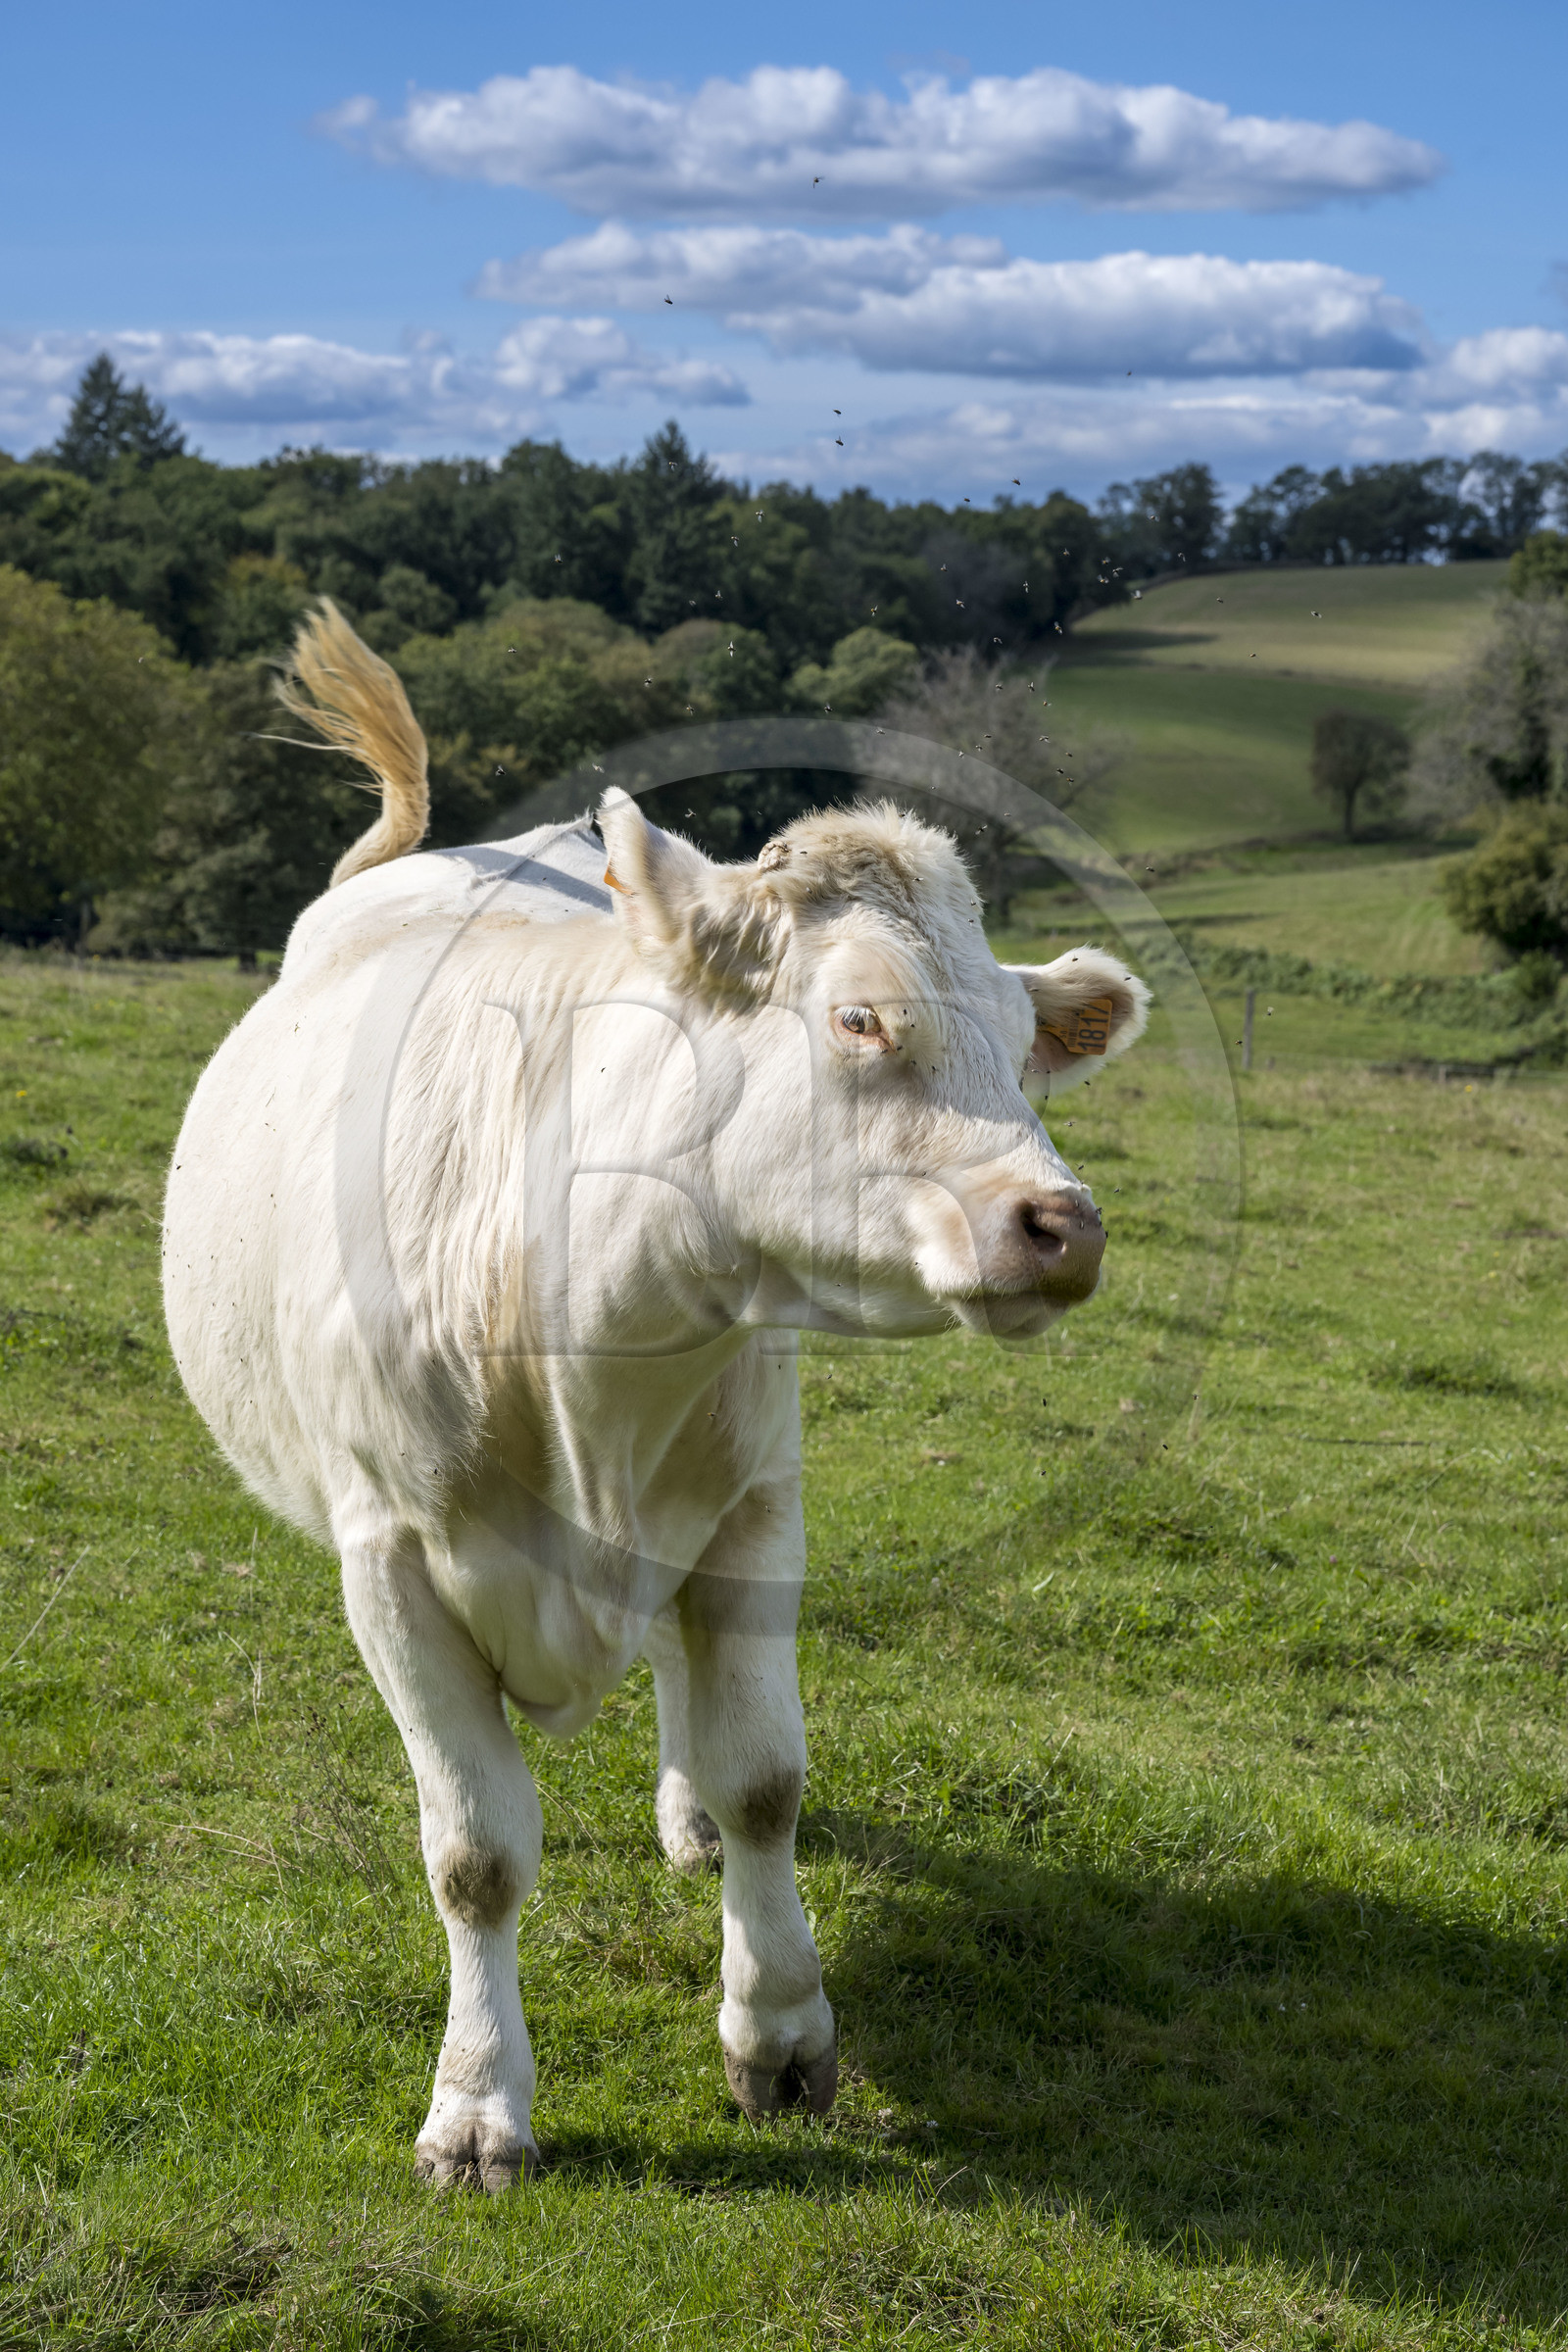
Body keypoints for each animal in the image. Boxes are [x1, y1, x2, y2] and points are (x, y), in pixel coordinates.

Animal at [163, 605, 1149, 2191]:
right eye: (860, 1019)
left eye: (1019, 1041)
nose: (1063, 1224)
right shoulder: (391, 1565)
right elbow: (476, 1852)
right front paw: (478, 2105)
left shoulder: (756, 1510)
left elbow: (764, 1779)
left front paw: (781, 2031)